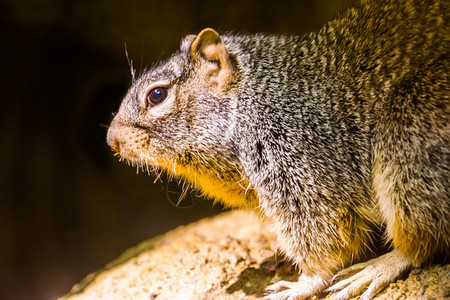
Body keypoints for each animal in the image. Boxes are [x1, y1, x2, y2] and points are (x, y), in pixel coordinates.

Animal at [107, 0, 448, 298]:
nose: (111, 140)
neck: (257, 94)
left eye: (157, 95)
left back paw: (378, 268)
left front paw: (304, 283)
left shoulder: (297, 164)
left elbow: (324, 237)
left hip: (407, 141)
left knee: (423, 238)